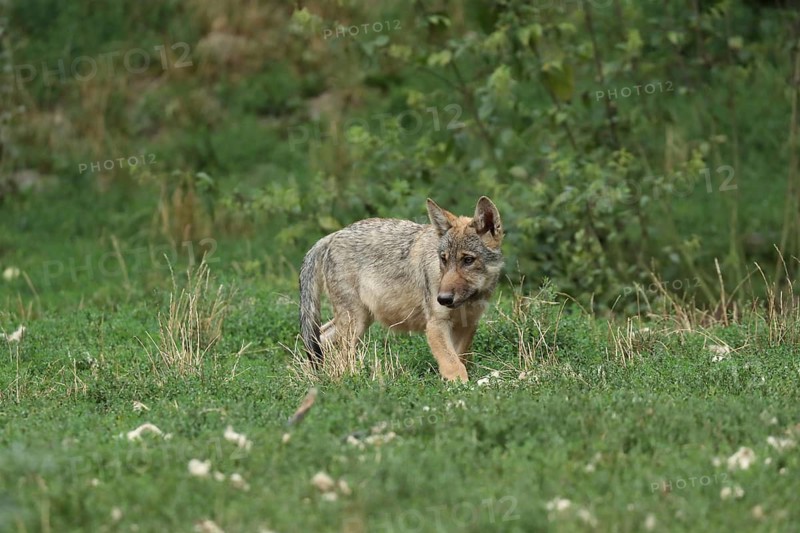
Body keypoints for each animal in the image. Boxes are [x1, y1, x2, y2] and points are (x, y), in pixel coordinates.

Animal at [299, 196, 504, 382]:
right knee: (335, 352)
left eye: (468, 260)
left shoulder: (467, 325)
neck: (468, 301)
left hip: (360, 321)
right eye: (444, 259)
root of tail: (332, 236)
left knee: (318, 340)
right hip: (355, 323)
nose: (443, 299)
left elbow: (458, 359)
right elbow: (453, 365)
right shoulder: (435, 324)